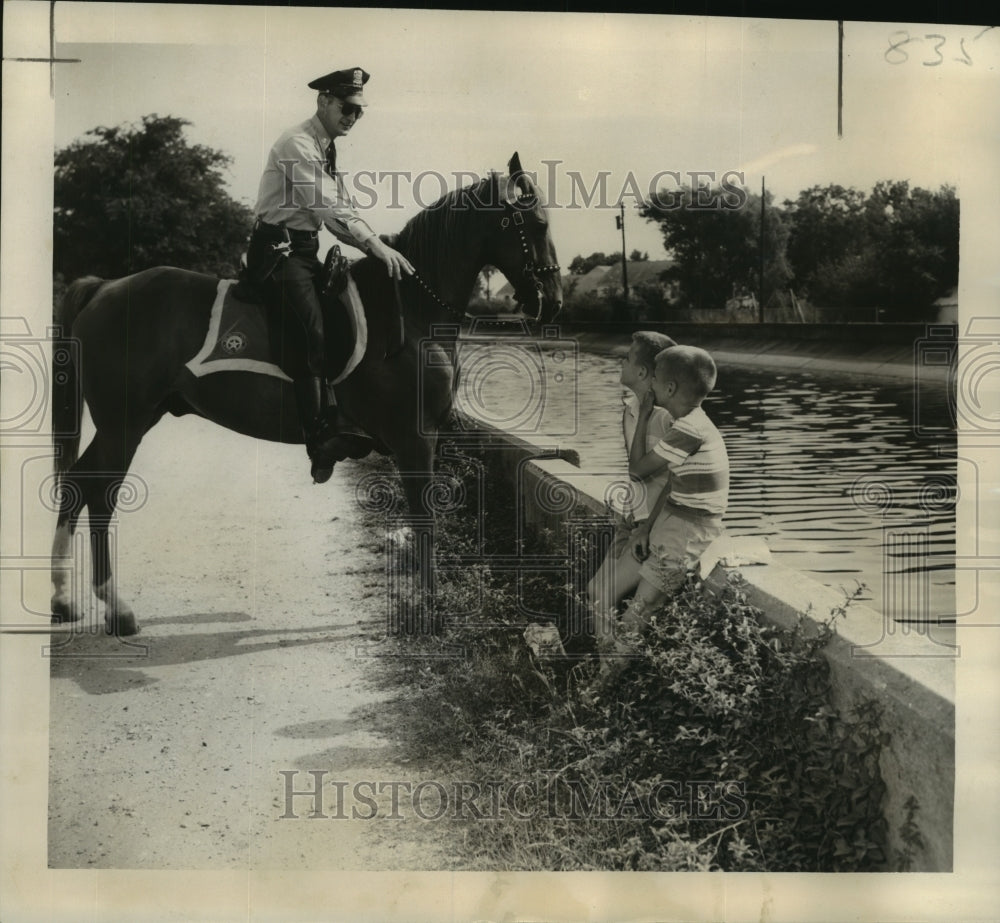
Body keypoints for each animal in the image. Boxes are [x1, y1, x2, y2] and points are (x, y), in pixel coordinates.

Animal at [52, 157, 564, 636]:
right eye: (538, 224)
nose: (554, 301)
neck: (411, 311)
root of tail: (104, 286)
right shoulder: (414, 440)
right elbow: (425, 521)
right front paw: (429, 610)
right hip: (125, 423)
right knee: (100, 493)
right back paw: (115, 608)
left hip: (132, 420)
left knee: (77, 482)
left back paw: (63, 598)